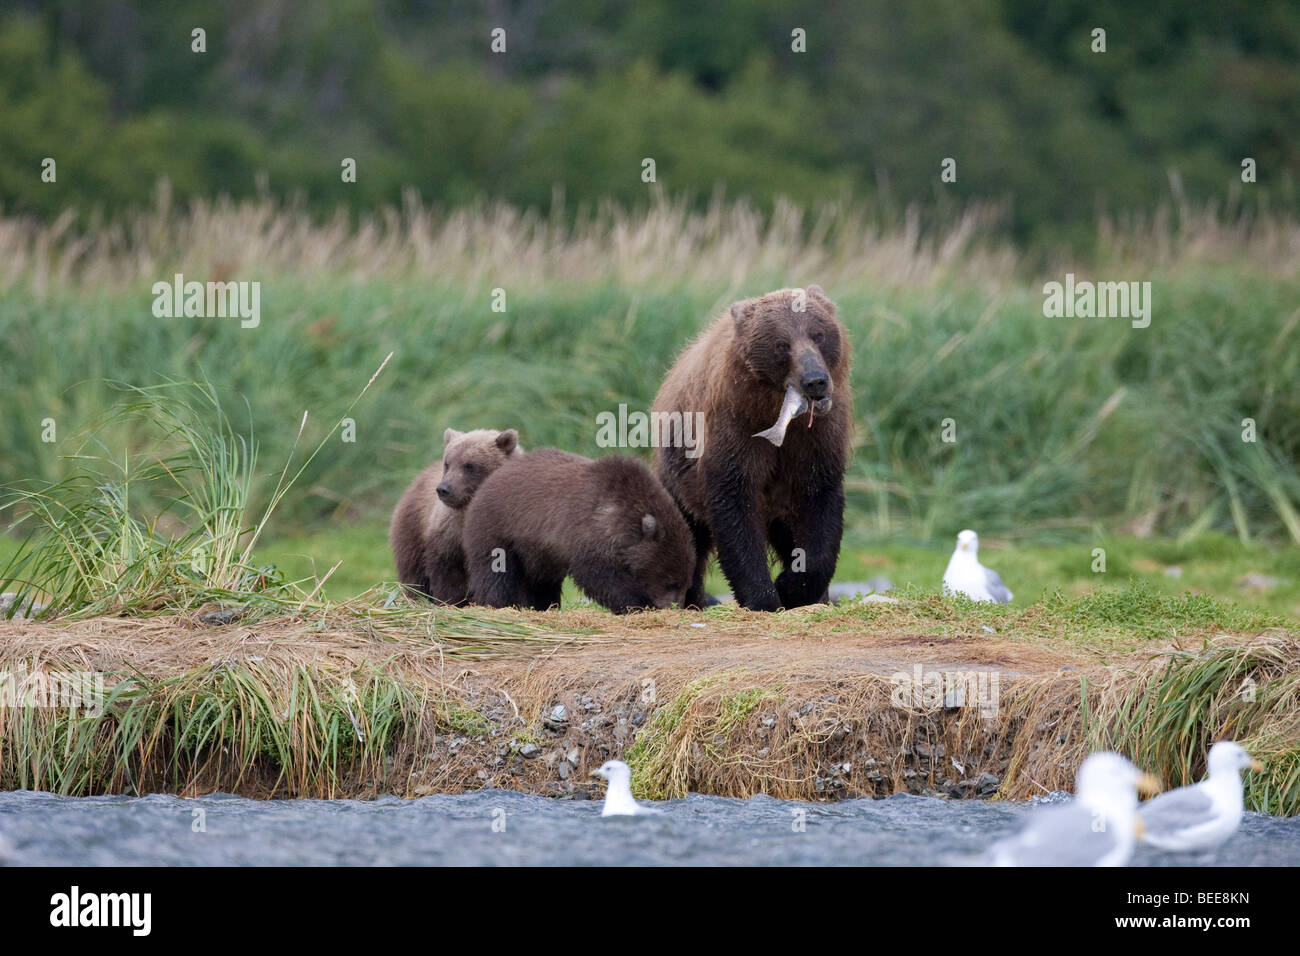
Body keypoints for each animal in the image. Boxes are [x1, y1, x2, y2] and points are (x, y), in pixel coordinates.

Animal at [650, 286, 852, 613]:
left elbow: (820, 505)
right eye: (781, 344)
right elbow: (735, 502)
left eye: (818, 334)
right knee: (687, 531)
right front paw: (764, 596)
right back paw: (690, 599)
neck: (778, 414)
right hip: (677, 467)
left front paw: (793, 587)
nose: (815, 381)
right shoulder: (736, 426)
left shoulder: (817, 440)